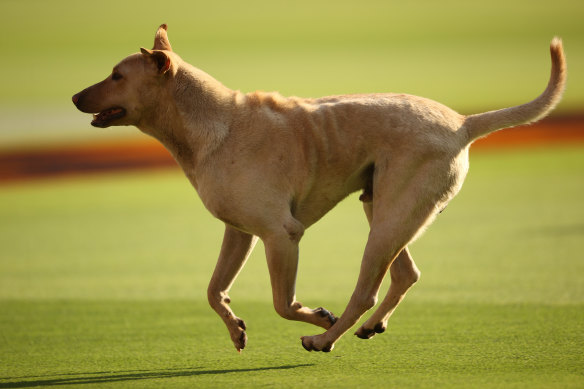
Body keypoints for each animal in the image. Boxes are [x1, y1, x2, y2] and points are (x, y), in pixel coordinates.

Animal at [72, 24, 564, 352]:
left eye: (117, 75)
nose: (75, 97)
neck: (215, 123)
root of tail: (463, 122)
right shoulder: (239, 233)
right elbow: (214, 290)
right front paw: (235, 328)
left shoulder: (280, 235)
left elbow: (282, 302)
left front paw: (315, 315)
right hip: (383, 208)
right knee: (405, 274)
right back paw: (367, 328)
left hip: (386, 224)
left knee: (366, 291)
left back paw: (325, 337)